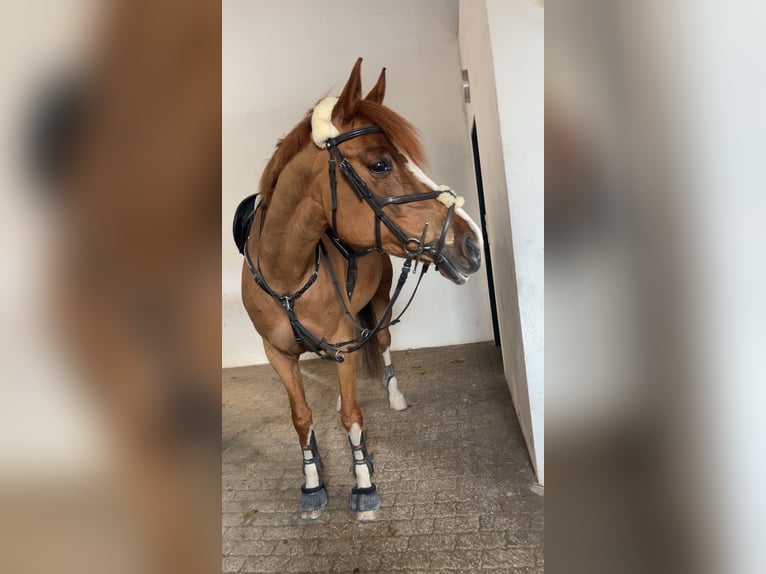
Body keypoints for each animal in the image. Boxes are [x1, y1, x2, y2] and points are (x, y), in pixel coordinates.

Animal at [235, 58, 483, 521]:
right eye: (381, 164)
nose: (473, 244)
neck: (288, 274)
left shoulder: (344, 340)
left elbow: (353, 417)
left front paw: (364, 484)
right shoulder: (277, 354)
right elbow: (301, 417)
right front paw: (312, 484)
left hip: (379, 306)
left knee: (381, 344)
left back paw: (395, 396)